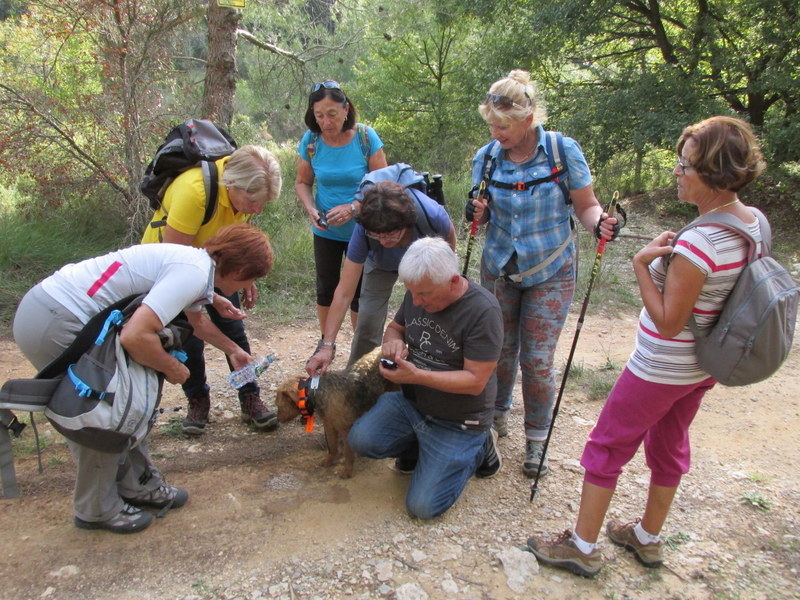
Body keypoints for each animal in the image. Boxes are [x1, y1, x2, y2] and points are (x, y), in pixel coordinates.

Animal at [276, 346, 398, 478]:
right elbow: (332, 448)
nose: (277, 419)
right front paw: (328, 461)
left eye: (278, 404)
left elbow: (348, 453)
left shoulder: (346, 429)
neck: (315, 391)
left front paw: (347, 471)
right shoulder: (329, 426)